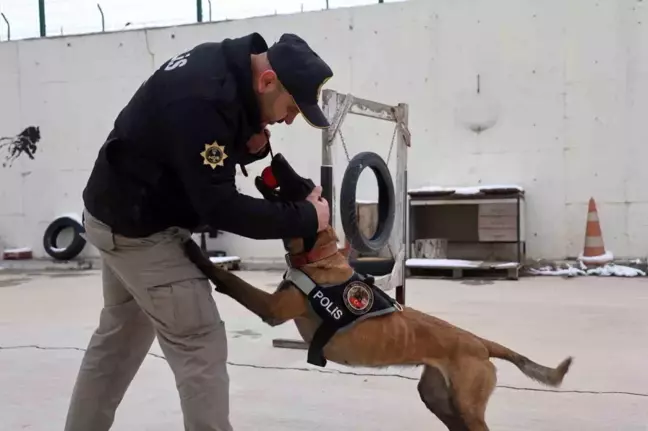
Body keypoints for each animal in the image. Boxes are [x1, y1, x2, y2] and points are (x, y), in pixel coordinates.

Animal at [184, 154, 572, 430]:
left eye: (305, 183)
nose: (275, 155)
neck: (319, 258)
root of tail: (480, 343)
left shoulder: (272, 308)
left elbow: (230, 281)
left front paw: (196, 252)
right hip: (437, 398)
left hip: (466, 405)